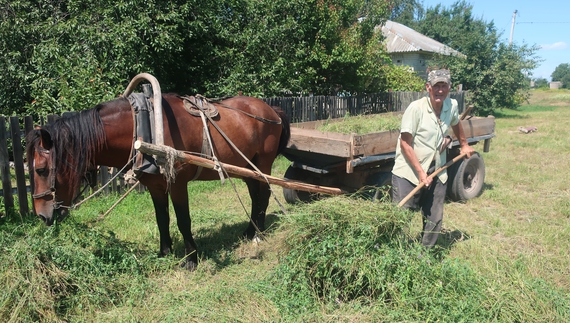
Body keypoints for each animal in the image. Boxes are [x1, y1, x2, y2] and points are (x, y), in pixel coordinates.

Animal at [25, 93, 288, 270]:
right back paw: (250, 230)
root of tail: (272, 109)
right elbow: (162, 219)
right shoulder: (155, 187)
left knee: (264, 194)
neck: (145, 126)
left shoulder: (177, 184)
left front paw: (191, 259)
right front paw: (164, 252)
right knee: (255, 196)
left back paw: (258, 234)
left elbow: (183, 220)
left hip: (262, 164)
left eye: (41, 169)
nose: (41, 216)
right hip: (247, 167)